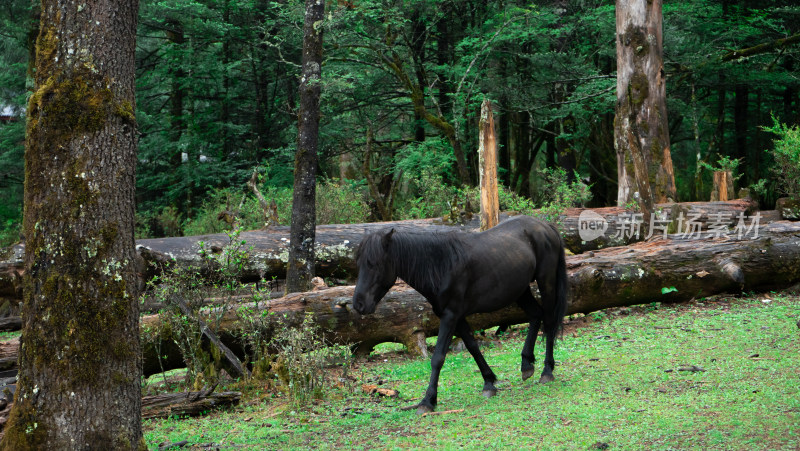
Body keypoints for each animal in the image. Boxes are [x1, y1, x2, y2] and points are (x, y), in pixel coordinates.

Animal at [352, 217, 568, 414]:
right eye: (359, 263)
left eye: (374, 264)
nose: (358, 304)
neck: (442, 265)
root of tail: (545, 225)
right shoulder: (457, 317)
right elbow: (472, 347)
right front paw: (489, 382)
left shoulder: (450, 316)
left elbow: (438, 357)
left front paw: (427, 401)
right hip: (520, 291)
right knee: (536, 315)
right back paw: (526, 364)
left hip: (546, 282)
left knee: (549, 322)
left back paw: (547, 371)